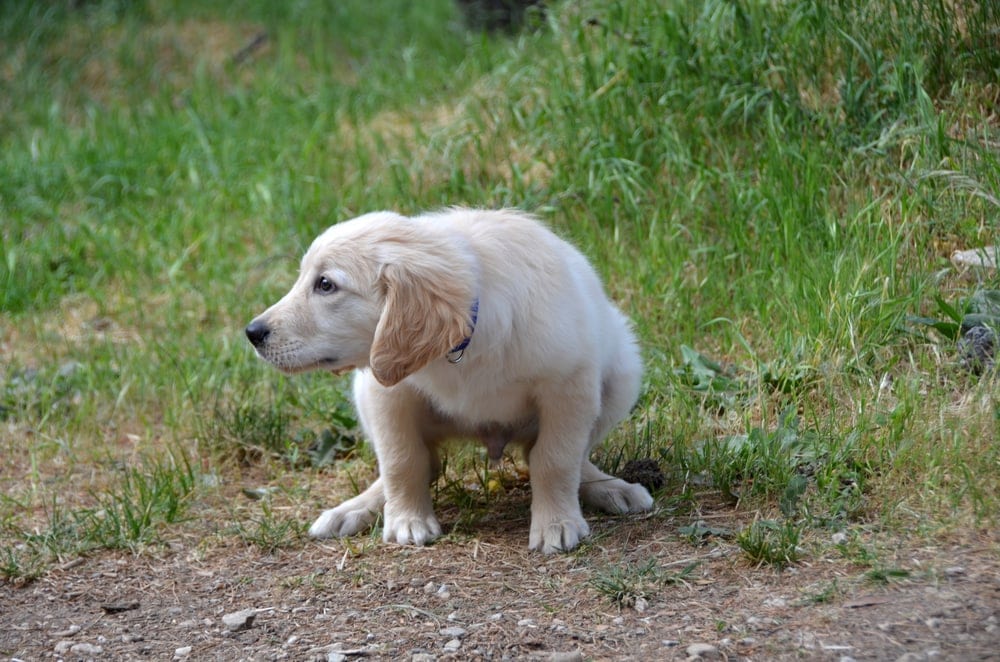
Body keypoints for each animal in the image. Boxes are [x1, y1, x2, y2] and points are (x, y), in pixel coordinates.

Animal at [248, 209, 656, 556]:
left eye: (326, 284)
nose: (252, 332)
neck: (462, 345)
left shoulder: (569, 385)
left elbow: (555, 458)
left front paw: (556, 522)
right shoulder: (388, 392)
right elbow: (401, 459)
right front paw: (407, 519)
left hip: (624, 370)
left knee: (561, 454)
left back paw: (610, 488)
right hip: (365, 394)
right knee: (420, 461)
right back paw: (355, 508)